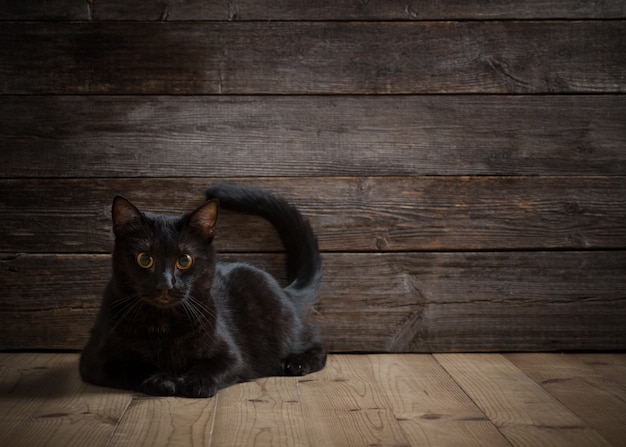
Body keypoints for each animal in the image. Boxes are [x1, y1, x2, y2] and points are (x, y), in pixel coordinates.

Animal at [78, 186, 326, 400]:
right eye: (145, 259)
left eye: (185, 260)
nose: (165, 284)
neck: (163, 324)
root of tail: (284, 290)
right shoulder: (95, 361)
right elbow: (136, 367)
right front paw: (162, 379)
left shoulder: (232, 355)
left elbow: (212, 365)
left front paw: (195, 382)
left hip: (282, 330)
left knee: (317, 341)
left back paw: (297, 363)